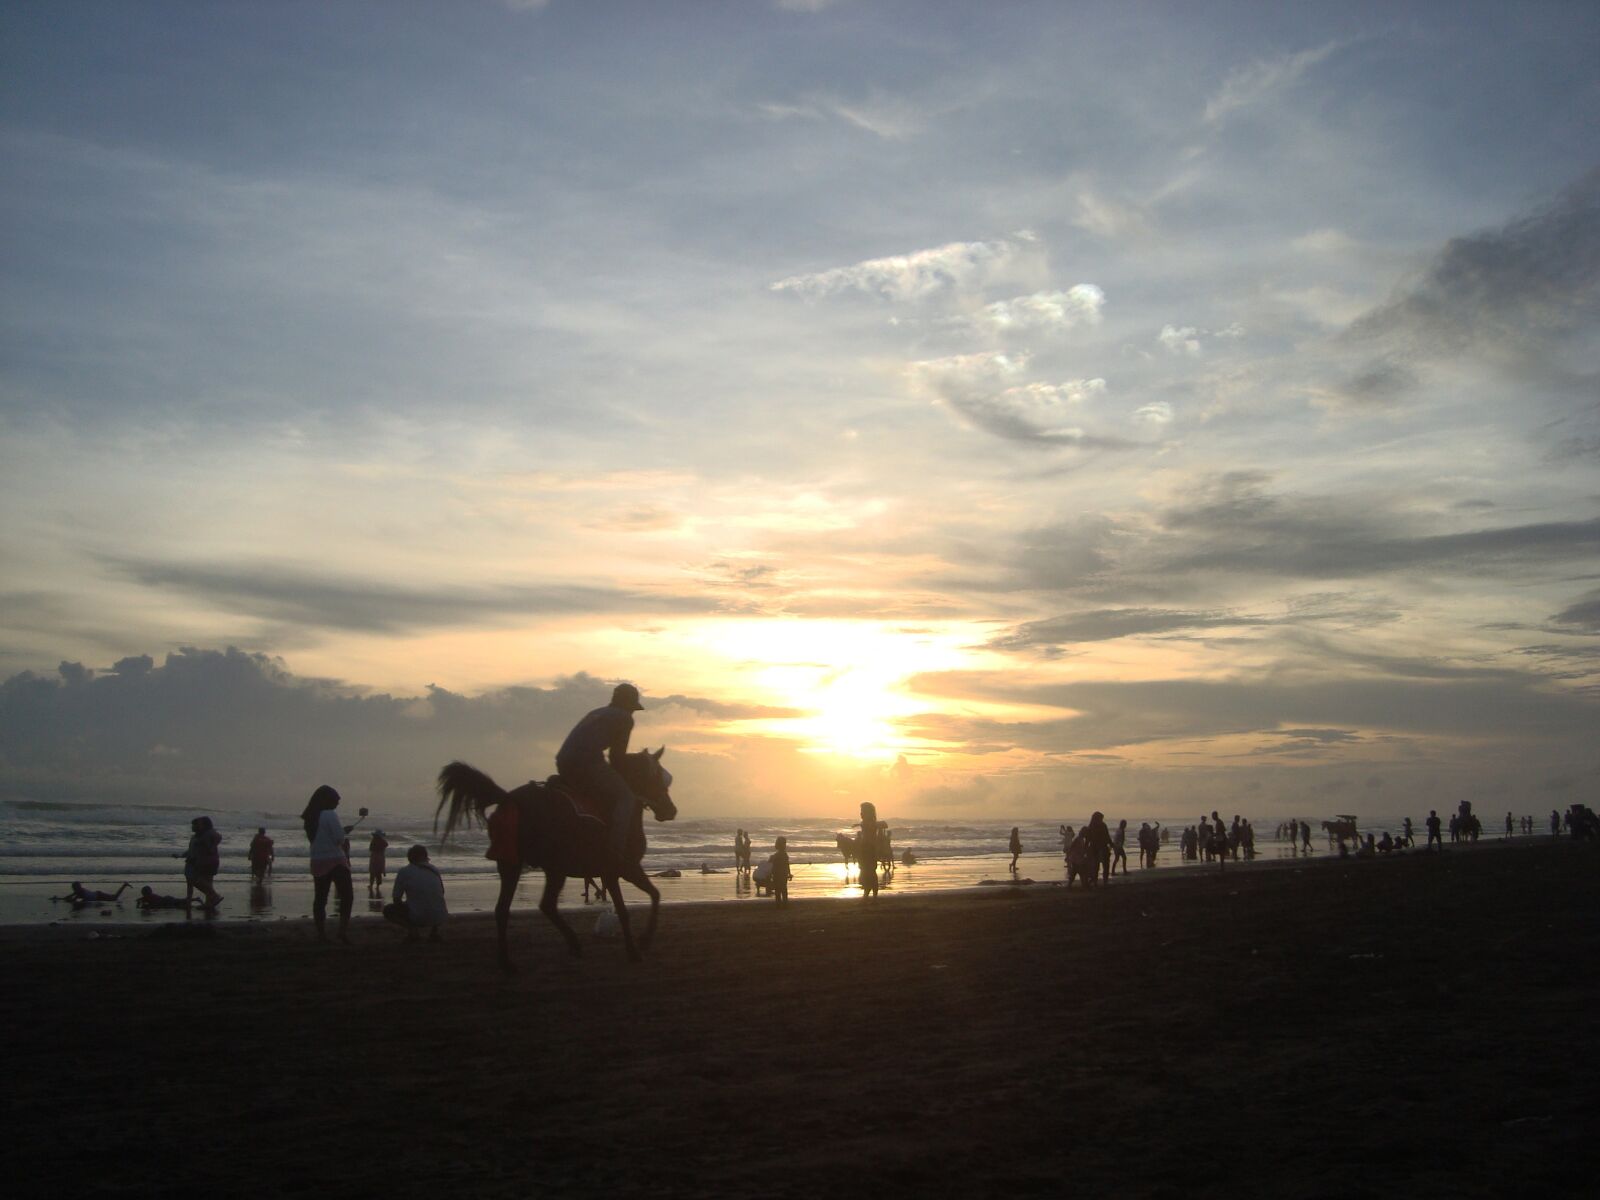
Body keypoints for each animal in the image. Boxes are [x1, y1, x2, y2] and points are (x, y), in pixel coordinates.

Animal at [432, 748, 675, 972]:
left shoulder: (623, 869)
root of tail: (510, 798)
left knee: (512, 908)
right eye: (655, 776)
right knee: (541, 905)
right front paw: (636, 948)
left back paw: (509, 961)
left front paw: (643, 941)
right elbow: (629, 908)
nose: (671, 809)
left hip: (518, 865)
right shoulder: (617, 869)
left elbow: (652, 895)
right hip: (550, 867)